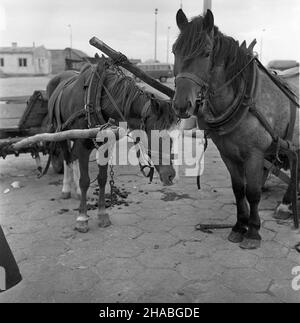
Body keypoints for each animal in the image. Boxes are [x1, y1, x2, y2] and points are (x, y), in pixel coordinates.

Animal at [46, 57, 176, 233]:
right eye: (156, 138)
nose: (170, 175)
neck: (97, 99)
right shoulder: (83, 145)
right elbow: (85, 181)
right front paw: (82, 218)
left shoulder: (105, 145)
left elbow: (102, 179)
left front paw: (102, 214)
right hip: (60, 131)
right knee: (67, 159)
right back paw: (66, 188)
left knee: (72, 158)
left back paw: (76, 191)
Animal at [172, 8, 298, 249]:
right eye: (174, 51)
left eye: (206, 53)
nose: (182, 105)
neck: (244, 98)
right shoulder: (228, 154)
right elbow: (239, 190)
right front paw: (240, 226)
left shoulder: (255, 154)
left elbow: (253, 192)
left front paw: (254, 232)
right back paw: (286, 205)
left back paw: (285, 205)